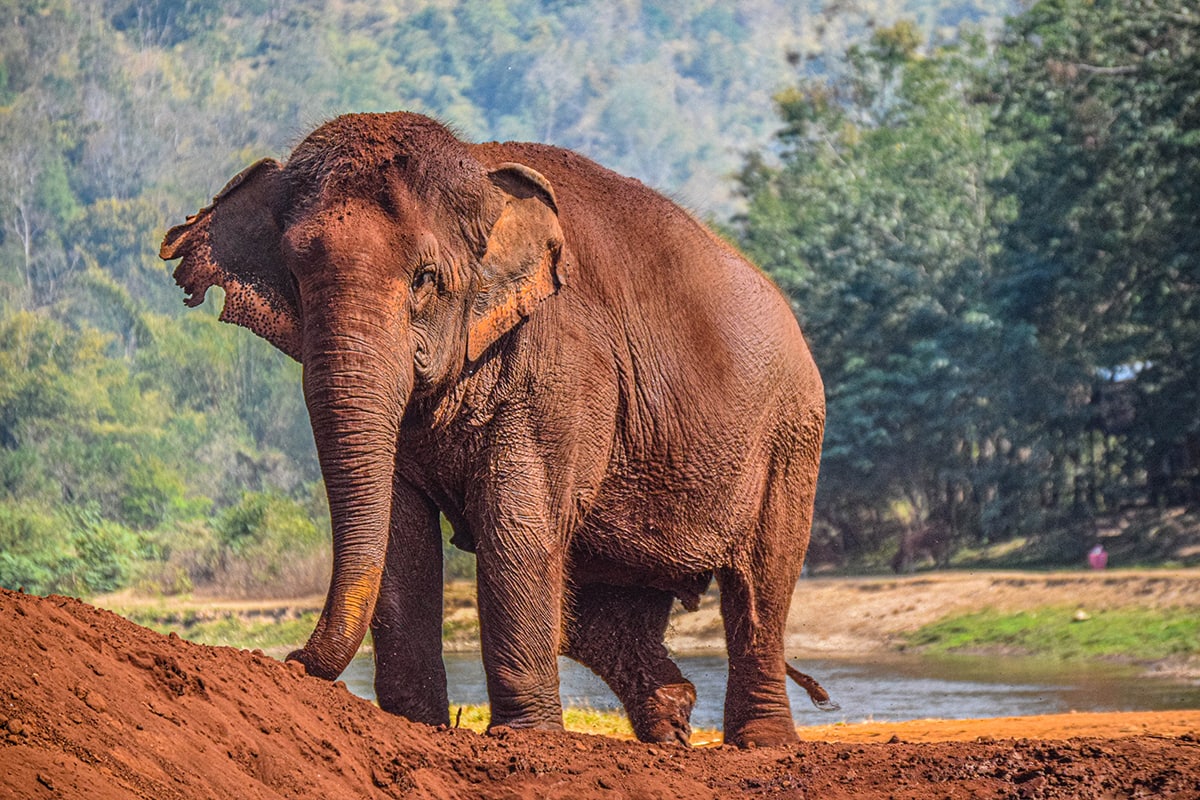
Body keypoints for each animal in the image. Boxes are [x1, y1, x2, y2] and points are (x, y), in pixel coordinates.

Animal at [160, 111, 831, 747]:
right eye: (295, 277)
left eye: (424, 280)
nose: (291, 660)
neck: (478, 170)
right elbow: (403, 535)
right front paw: (418, 725)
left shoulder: (562, 364)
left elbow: (516, 524)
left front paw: (526, 738)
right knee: (598, 612)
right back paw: (672, 722)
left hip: (792, 434)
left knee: (760, 585)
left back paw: (762, 741)